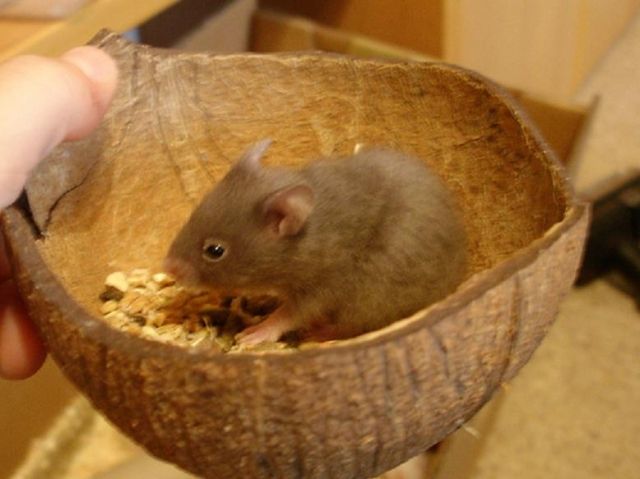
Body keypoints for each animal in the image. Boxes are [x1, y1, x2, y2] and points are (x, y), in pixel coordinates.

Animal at [164, 140, 467, 345]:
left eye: (215, 251)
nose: (167, 268)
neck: (308, 237)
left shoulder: (318, 291)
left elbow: (285, 316)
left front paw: (251, 336)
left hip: (370, 300)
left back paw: (317, 333)